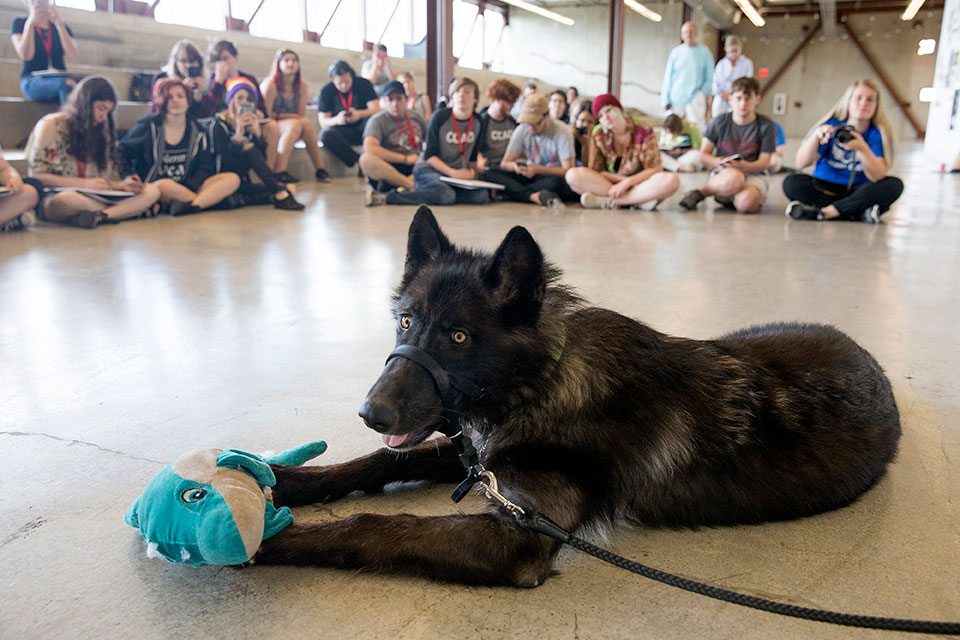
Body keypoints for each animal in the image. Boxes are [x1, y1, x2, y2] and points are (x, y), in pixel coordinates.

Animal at [256, 208, 900, 588]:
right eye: (406, 321)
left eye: (459, 337)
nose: (371, 413)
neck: (544, 380)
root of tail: (871, 360)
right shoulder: (478, 454)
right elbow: (379, 462)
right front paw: (285, 482)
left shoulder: (514, 535)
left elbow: (373, 526)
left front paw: (271, 538)